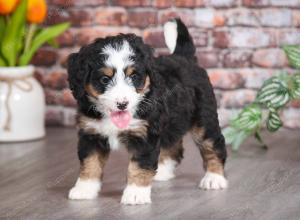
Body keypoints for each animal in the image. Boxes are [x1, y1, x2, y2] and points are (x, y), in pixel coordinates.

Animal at [67, 18, 227, 205]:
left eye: (134, 76)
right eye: (105, 79)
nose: (122, 104)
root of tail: (185, 58)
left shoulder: (145, 135)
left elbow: (138, 166)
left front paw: (135, 193)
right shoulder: (91, 134)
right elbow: (90, 163)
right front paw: (84, 189)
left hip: (203, 119)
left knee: (213, 145)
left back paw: (214, 178)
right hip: (172, 122)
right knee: (173, 147)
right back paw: (163, 172)